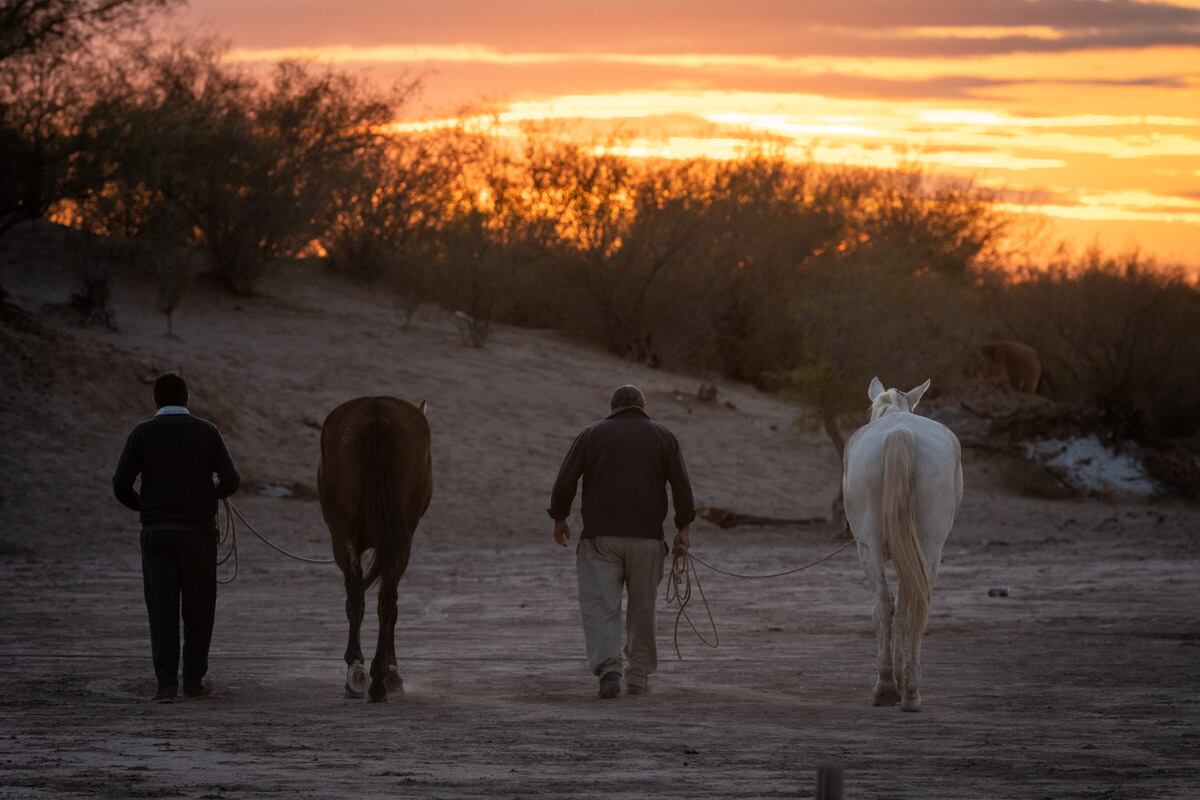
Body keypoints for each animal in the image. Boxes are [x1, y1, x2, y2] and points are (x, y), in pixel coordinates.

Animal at [316, 395, 434, 700]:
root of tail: (376, 413)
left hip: (343, 533)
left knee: (360, 592)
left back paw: (363, 671)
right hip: (396, 538)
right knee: (385, 596)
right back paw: (378, 676)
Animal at [844, 376, 964, 714]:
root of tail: (900, 433)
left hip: (870, 546)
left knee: (885, 603)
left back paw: (888, 686)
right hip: (929, 548)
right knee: (914, 604)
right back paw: (908, 690)